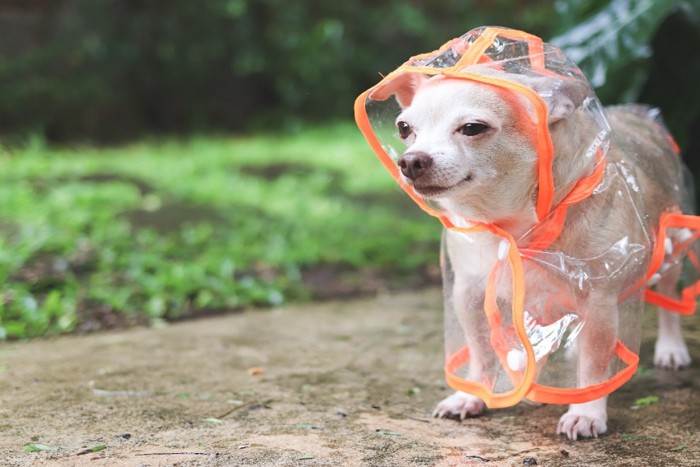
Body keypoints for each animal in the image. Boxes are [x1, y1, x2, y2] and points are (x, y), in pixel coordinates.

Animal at [374, 67, 692, 440]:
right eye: (403, 128)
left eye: (472, 128)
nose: (410, 160)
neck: (512, 224)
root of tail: (638, 115)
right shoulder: (469, 293)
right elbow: (481, 352)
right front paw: (472, 394)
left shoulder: (598, 296)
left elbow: (595, 363)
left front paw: (585, 411)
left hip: (671, 250)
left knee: (668, 299)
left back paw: (671, 349)